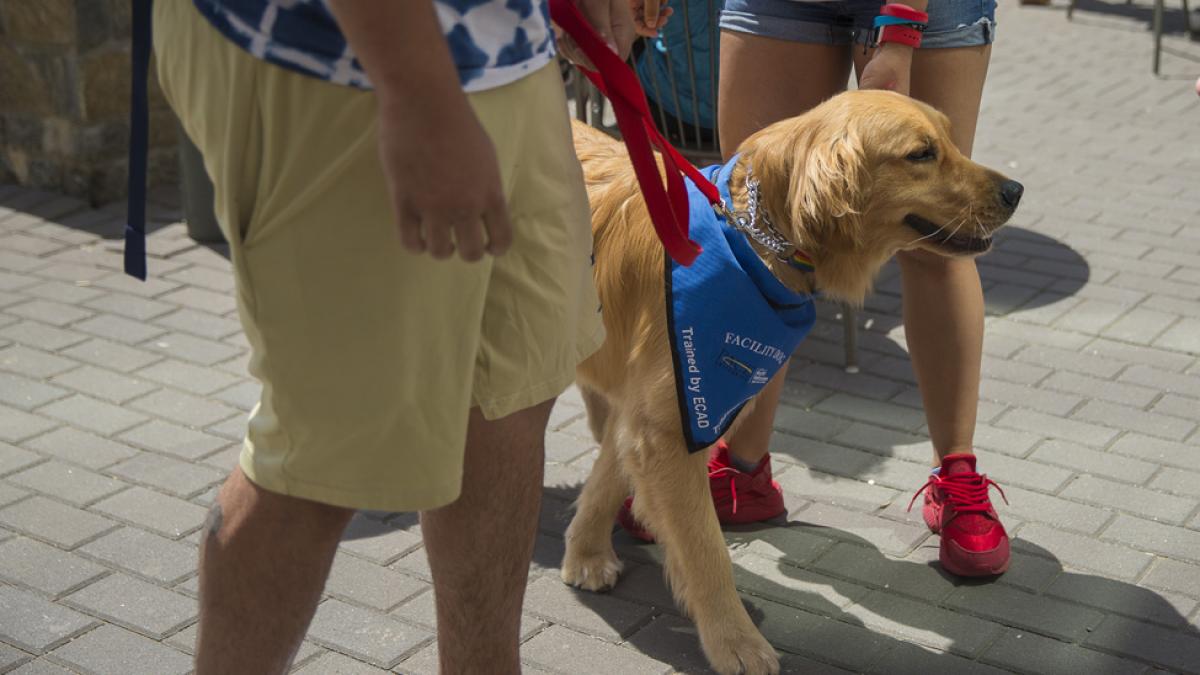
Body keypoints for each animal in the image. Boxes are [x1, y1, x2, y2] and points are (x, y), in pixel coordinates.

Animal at [561, 90, 1022, 672]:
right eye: (921, 154)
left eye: (949, 138)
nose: (1016, 191)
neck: (750, 238)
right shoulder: (673, 422)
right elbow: (706, 550)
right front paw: (735, 642)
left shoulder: (648, 412)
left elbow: (606, 478)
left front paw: (585, 553)